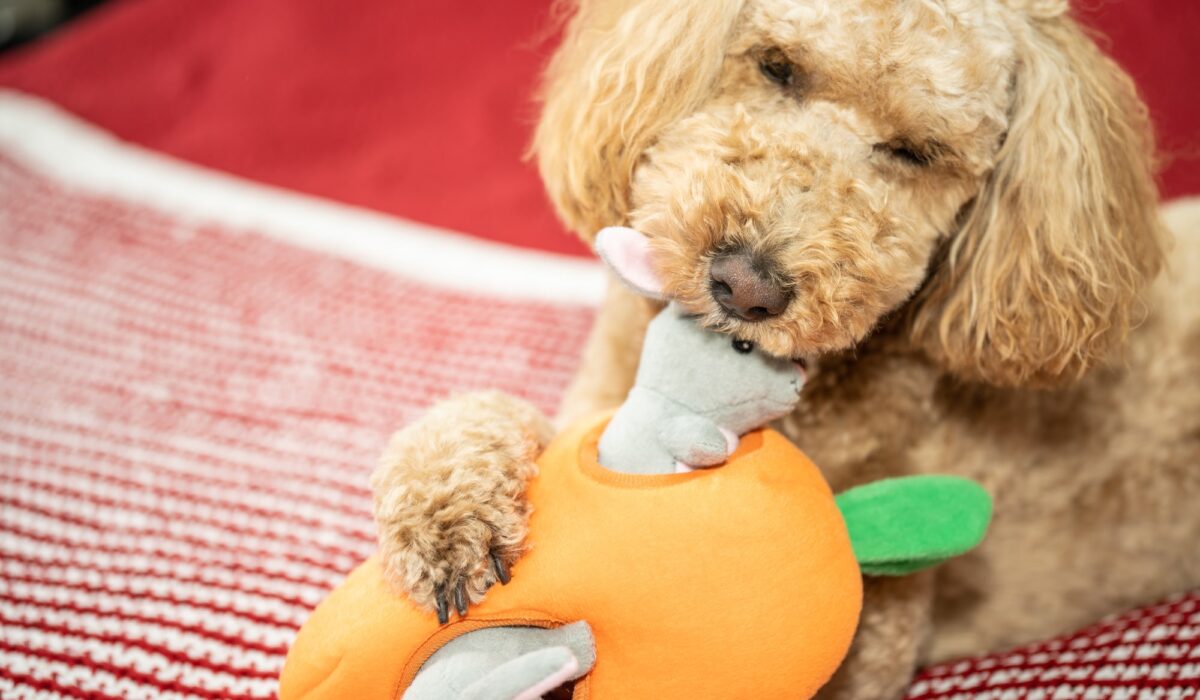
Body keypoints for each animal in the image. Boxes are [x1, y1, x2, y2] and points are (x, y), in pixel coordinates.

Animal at [369, 2, 1195, 696]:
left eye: (914, 152)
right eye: (777, 67)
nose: (745, 284)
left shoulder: (870, 641)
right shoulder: (593, 411)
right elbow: (484, 414)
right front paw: (448, 514)